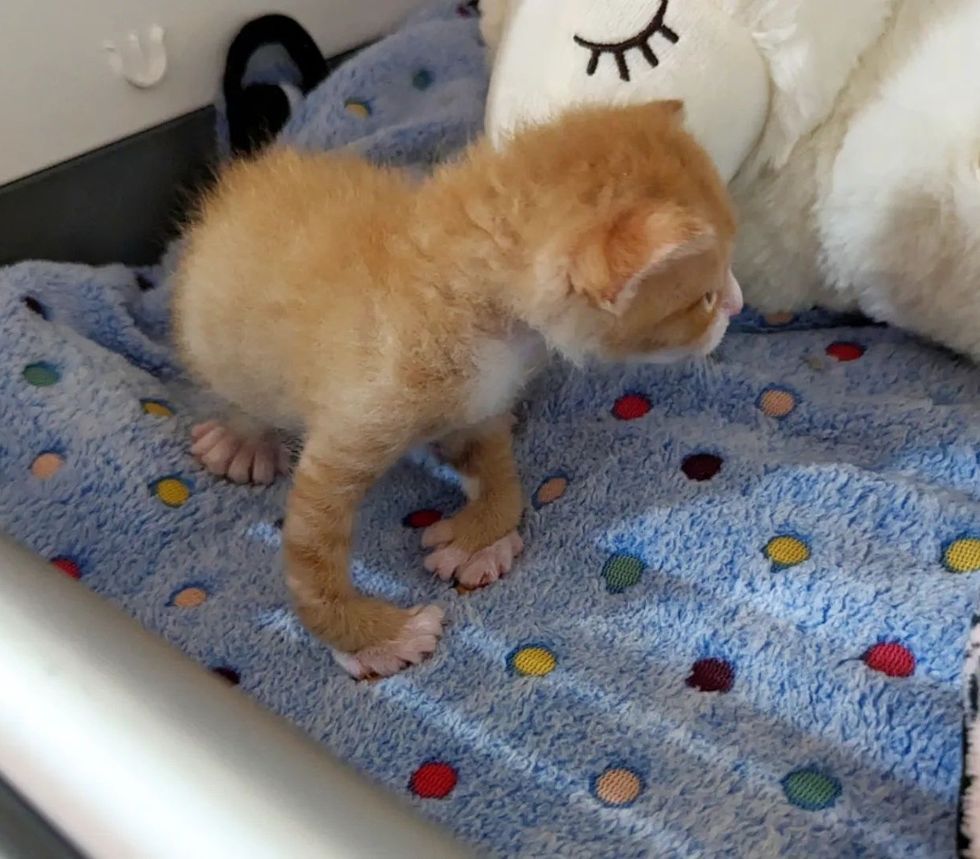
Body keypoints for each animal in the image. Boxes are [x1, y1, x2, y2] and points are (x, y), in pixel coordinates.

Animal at [172, 101, 740, 680]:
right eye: (704, 298)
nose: (738, 305)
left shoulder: (479, 402)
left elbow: (498, 467)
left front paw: (479, 540)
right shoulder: (359, 419)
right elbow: (311, 553)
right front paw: (375, 639)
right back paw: (242, 440)